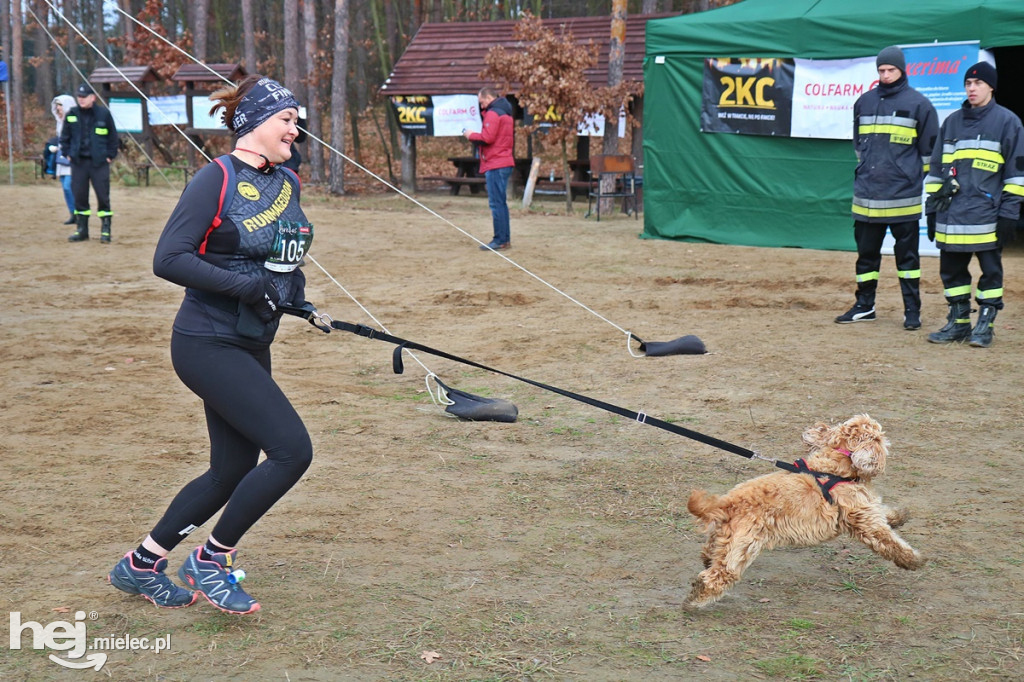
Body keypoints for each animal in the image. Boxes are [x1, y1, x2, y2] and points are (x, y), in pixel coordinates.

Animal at [684, 413, 925, 606]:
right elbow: (890, 542)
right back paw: (695, 598)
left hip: (723, 539)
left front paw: (899, 516)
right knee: (719, 576)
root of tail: (727, 503)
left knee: (709, 555)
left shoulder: (866, 508)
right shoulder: (865, 521)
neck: (837, 465)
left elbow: (884, 513)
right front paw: (914, 560)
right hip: (743, 546)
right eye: (879, 437)